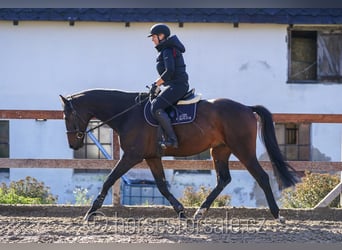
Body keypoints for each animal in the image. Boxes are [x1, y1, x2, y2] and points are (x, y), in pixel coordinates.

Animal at [60, 88, 298, 223]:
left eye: (67, 116)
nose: (73, 143)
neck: (128, 113)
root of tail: (247, 108)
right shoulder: (152, 157)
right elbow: (162, 186)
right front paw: (181, 212)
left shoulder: (132, 156)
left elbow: (109, 179)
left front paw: (91, 212)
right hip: (220, 150)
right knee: (223, 179)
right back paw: (199, 213)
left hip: (243, 151)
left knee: (262, 177)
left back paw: (278, 215)